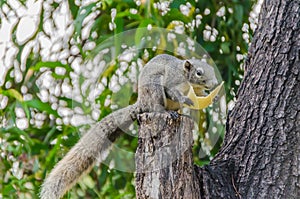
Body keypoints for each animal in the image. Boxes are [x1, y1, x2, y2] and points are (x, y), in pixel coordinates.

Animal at [39, 53, 218, 198]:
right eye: (199, 72)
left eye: (211, 69)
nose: (215, 83)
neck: (188, 81)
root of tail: (141, 104)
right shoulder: (171, 81)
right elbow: (173, 92)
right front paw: (186, 99)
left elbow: (200, 95)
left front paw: (211, 97)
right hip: (154, 90)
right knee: (157, 107)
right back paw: (167, 113)